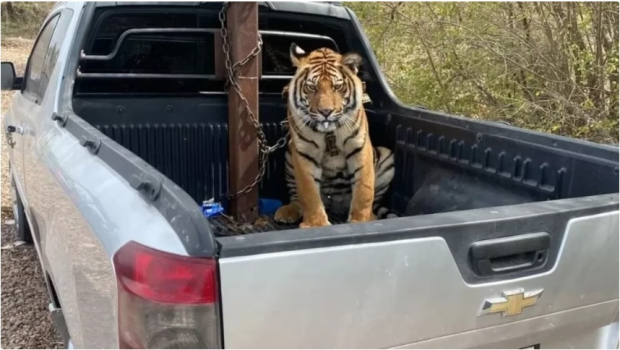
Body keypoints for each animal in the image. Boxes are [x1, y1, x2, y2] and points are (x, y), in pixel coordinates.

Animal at [272, 43, 398, 228]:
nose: (326, 112)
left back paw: (372, 216)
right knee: (296, 197)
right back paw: (288, 211)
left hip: (386, 155)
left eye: (337, 87)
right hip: (289, 152)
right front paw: (316, 224)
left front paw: (360, 221)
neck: (329, 132)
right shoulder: (304, 152)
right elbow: (308, 193)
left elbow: (364, 190)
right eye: (312, 87)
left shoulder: (360, 148)